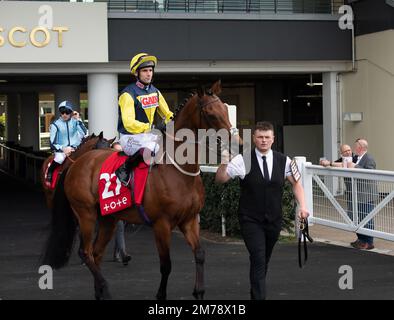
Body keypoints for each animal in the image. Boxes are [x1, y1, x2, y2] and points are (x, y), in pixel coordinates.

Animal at [42, 80, 240, 300]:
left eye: (226, 109)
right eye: (211, 113)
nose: (236, 143)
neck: (179, 170)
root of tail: (75, 164)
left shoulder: (188, 220)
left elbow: (200, 254)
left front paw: (199, 292)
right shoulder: (161, 224)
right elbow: (166, 265)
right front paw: (161, 294)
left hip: (108, 219)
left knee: (96, 253)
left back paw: (99, 291)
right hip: (86, 214)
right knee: (85, 253)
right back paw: (106, 289)